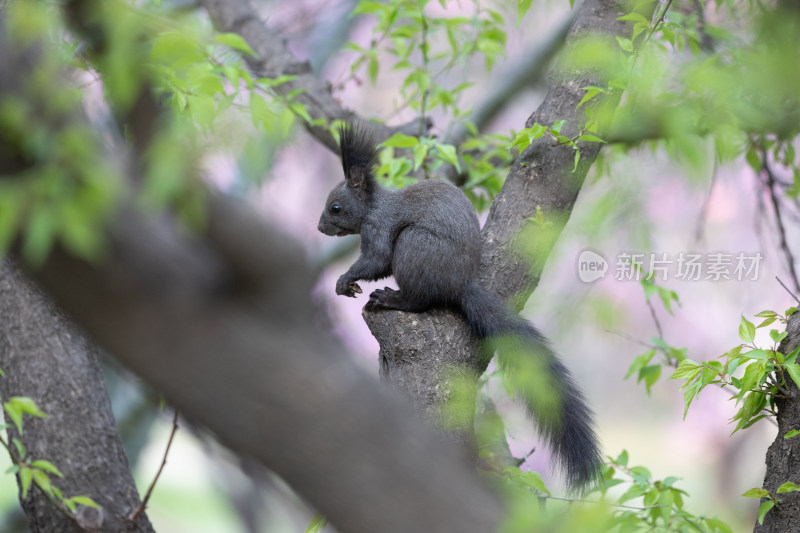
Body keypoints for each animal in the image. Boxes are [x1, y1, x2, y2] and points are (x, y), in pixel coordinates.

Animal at [318, 122, 600, 488]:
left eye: (336, 207)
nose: (319, 227)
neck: (373, 206)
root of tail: (460, 284)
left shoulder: (378, 228)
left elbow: (376, 260)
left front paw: (344, 280)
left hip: (414, 246)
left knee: (419, 300)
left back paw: (392, 298)